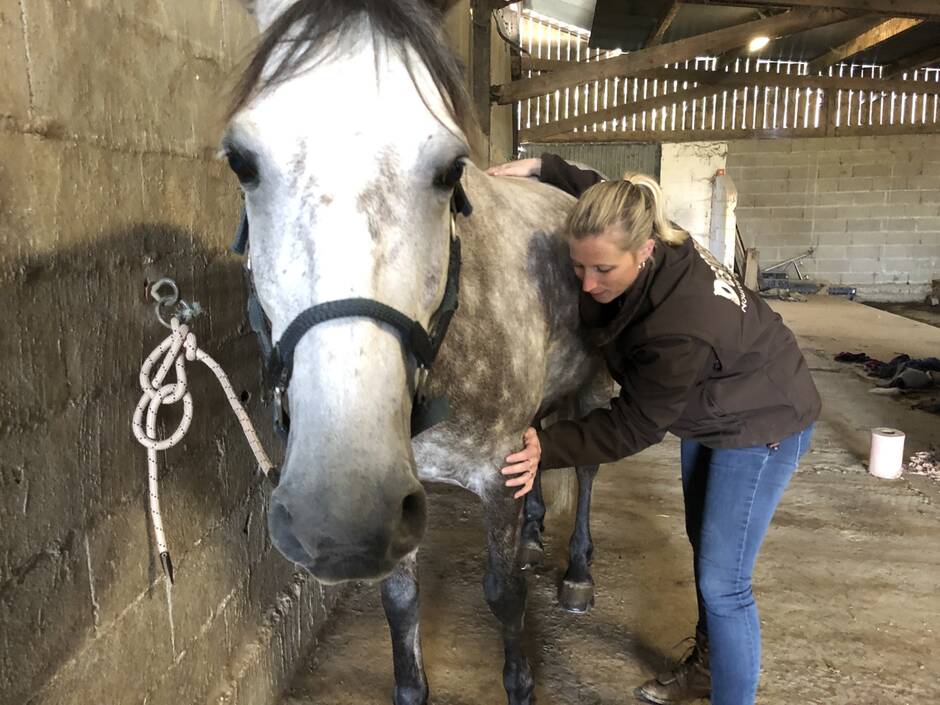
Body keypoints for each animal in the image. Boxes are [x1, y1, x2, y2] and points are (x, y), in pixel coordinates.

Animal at [226, 2, 608, 700]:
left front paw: (520, 682)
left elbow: (504, 594)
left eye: (451, 169)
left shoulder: (495, 473)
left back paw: (575, 574)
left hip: (593, 389)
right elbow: (400, 603)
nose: (338, 518)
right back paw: (535, 536)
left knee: (589, 469)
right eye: (241, 162)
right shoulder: (399, 505)